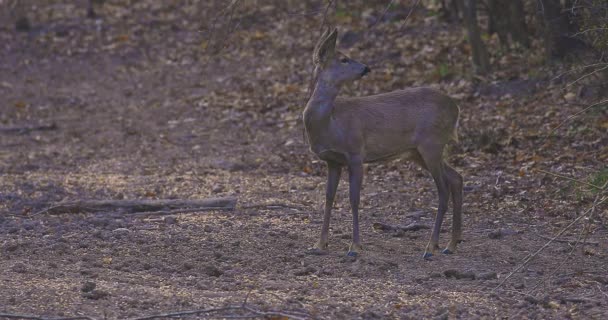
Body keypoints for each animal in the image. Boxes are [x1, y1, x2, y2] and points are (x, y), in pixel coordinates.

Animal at [306, 28, 464, 260]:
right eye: (343, 59)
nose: (366, 68)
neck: (331, 124)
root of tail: (456, 108)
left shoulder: (356, 153)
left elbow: (354, 199)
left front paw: (354, 247)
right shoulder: (332, 161)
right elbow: (328, 198)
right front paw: (319, 245)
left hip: (432, 143)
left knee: (443, 189)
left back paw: (430, 247)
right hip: (418, 151)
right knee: (456, 178)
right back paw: (451, 245)